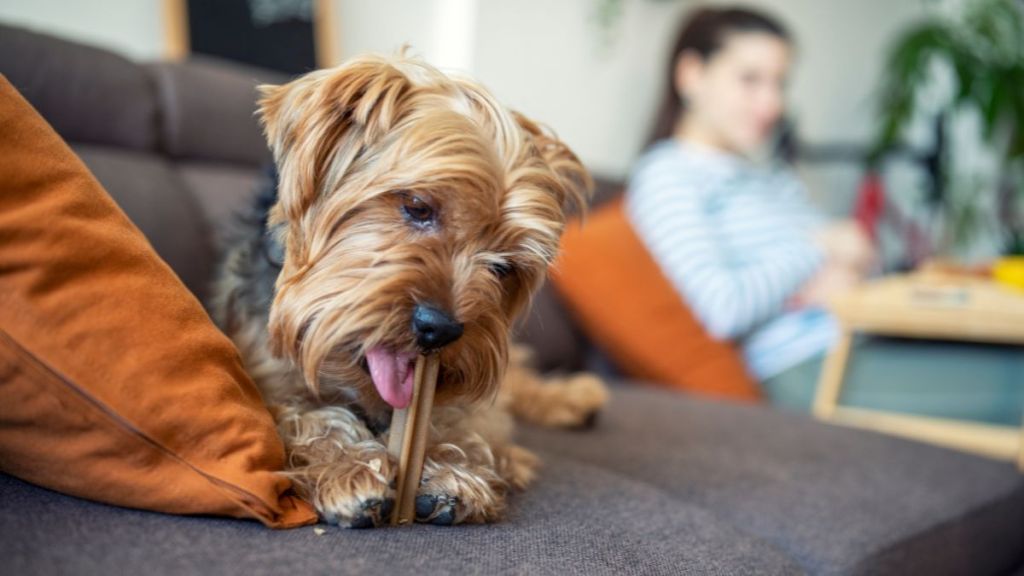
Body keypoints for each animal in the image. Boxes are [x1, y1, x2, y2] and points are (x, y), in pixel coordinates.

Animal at [210, 52, 602, 524]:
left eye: (504, 266)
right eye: (417, 206)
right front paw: (349, 467)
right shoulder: (260, 370)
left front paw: (450, 471)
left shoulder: (470, 401)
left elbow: (462, 420)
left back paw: (577, 397)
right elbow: (296, 414)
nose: (441, 329)